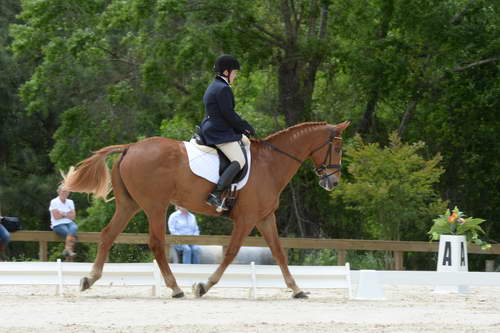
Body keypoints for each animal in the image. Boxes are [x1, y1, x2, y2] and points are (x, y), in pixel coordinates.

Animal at [62, 120, 350, 296]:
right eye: (337, 147)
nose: (333, 182)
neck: (271, 164)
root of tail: (130, 147)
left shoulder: (265, 217)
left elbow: (279, 253)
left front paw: (297, 289)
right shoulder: (246, 219)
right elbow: (231, 252)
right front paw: (204, 285)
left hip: (128, 204)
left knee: (108, 235)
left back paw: (89, 279)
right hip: (156, 206)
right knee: (156, 242)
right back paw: (175, 288)